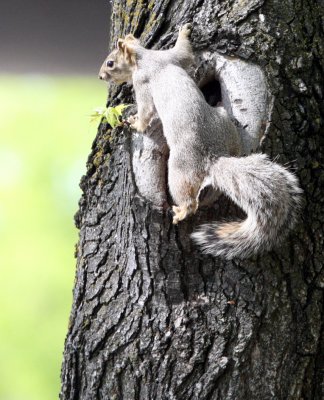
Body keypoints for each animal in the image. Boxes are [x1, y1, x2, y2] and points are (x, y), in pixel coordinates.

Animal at [98, 24, 302, 260]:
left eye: (111, 63)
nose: (100, 76)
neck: (145, 57)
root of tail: (214, 158)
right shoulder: (171, 57)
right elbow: (184, 53)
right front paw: (185, 32)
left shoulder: (143, 82)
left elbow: (146, 111)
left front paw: (135, 123)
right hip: (224, 124)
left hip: (179, 172)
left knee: (190, 201)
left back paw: (180, 211)